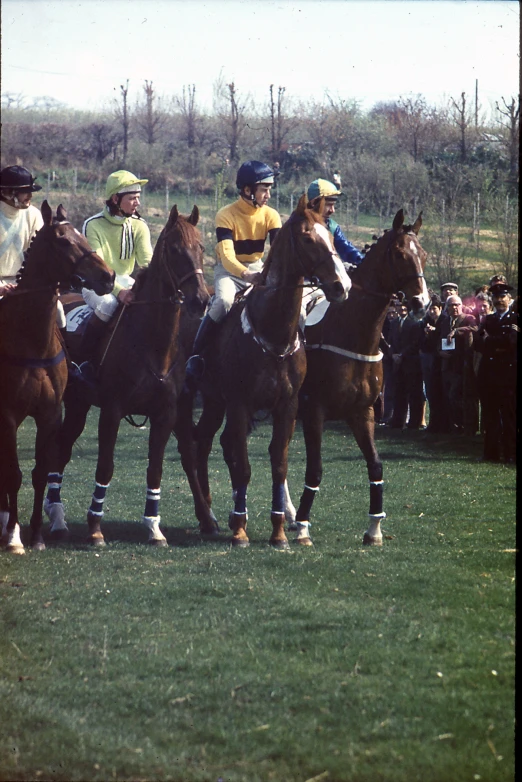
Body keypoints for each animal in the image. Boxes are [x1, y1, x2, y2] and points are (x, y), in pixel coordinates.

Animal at [0, 202, 113, 556]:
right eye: (63, 241)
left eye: (81, 234)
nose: (108, 277)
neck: (31, 340)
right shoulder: (8, 416)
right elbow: (13, 474)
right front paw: (13, 536)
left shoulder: (51, 413)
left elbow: (39, 472)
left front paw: (36, 535)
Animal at [42, 205, 217, 548]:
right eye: (174, 250)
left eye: (202, 248)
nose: (201, 300)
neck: (152, 342)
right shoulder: (112, 411)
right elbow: (105, 466)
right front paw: (95, 528)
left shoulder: (165, 414)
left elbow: (156, 469)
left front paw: (154, 528)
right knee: (60, 448)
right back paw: (55, 517)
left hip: (80, 404)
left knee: (63, 446)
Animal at [187, 196, 350, 552]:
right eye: (307, 238)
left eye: (331, 238)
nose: (341, 286)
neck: (272, 333)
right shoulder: (239, 403)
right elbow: (245, 466)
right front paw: (240, 531)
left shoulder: (286, 406)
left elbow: (279, 463)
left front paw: (279, 531)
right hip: (213, 398)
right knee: (201, 444)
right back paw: (209, 515)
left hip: (217, 403)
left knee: (209, 441)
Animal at [286, 211, 428, 548]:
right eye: (400, 255)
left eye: (424, 255)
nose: (422, 303)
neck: (350, 333)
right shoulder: (314, 412)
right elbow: (315, 470)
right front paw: (303, 528)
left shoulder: (363, 412)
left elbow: (375, 464)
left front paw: (374, 528)